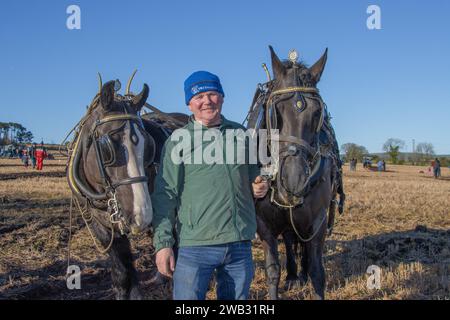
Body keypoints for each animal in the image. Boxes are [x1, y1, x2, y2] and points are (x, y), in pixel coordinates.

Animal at [250, 47, 344, 300]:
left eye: (318, 113)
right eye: (275, 111)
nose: (294, 181)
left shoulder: (318, 223)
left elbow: (317, 273)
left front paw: (309, 275)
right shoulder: (264, 224)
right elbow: (273, 270)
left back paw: (299, 273)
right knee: (290, 238)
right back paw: (293, 275)